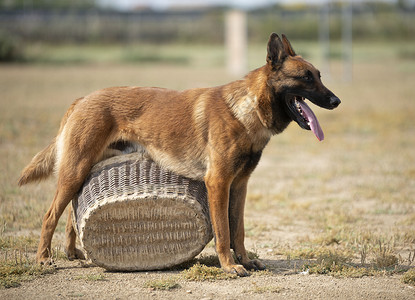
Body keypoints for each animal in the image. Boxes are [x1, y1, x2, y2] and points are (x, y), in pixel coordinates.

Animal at [18, 33, 342, 276]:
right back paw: (44, 258)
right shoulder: (218, 184)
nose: (336, 101)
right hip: (74, 171)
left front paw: (246, 260)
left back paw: (73, 252)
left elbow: (239, 229)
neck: (247, 108)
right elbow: (224, 231)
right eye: (306, 78)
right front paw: (229, 266)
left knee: (71, 213)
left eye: (319, 75)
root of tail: (82, 98)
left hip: (82, 170)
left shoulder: (239, 186)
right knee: (50, 215)